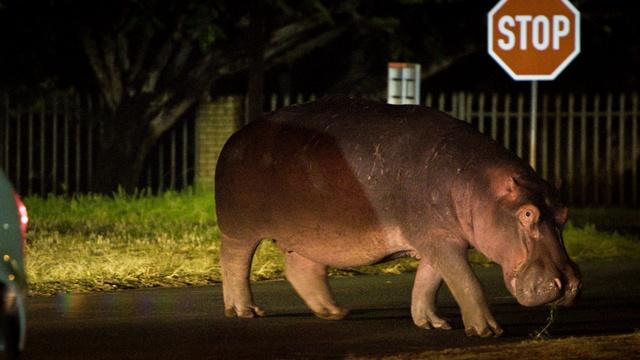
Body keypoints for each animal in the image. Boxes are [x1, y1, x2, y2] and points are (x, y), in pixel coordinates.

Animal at [215, 96, 580, 338]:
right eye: (528, 212)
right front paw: (488, 332)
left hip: (307, 234)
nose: (569, 283)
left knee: (301, 268)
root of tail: (235, 137)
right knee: (235, 263)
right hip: (239, 227)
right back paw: (245, 312)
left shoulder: (438, 238)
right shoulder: (440, 239)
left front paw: (434, 324)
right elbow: (466, 281)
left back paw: (334, 313)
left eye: (564, 211)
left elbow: (429, 282)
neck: (477, 184)